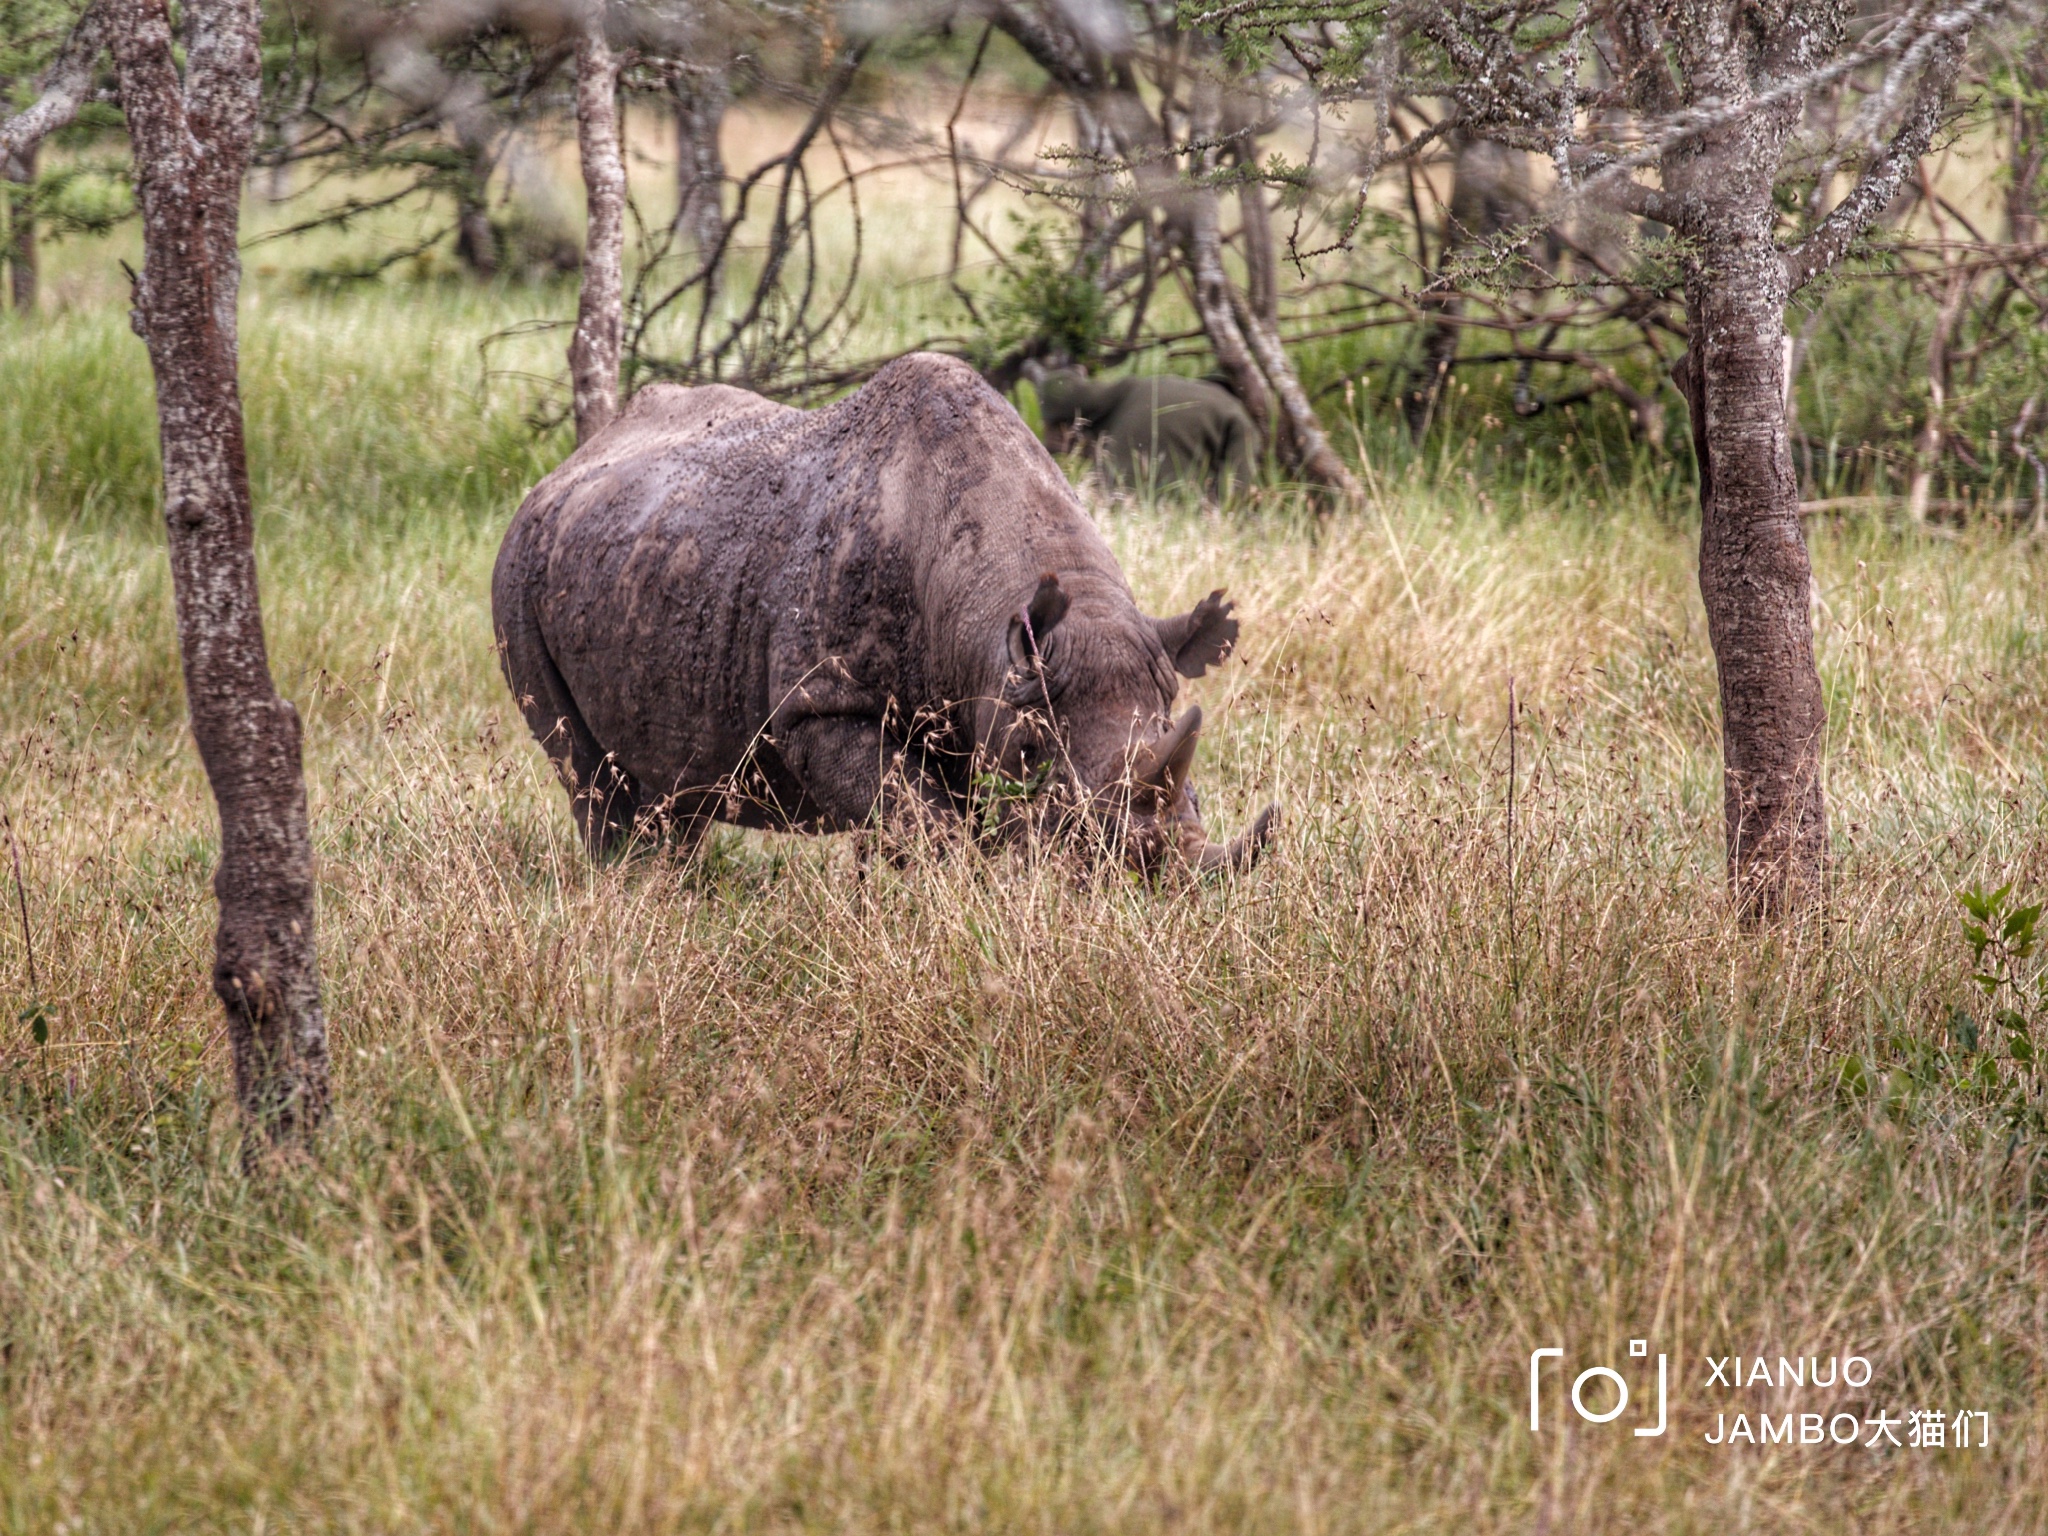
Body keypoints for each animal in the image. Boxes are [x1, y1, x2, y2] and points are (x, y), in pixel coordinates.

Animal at [491, 354, 1277, 872]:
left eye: (1173, 729)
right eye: (1034, 756)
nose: (1144, 879)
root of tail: (567, 466)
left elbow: (912, 822)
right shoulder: (822, 704)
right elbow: (924, 824)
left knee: (672, 792)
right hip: (516, 575)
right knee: (589, 779)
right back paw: (632, 887)